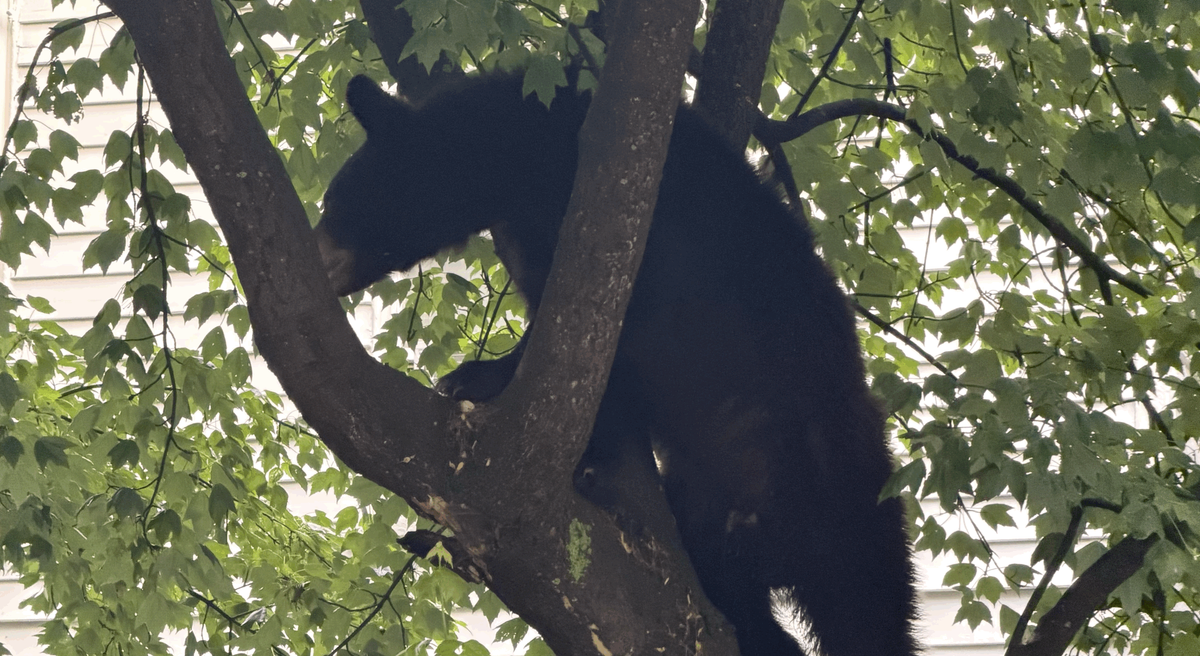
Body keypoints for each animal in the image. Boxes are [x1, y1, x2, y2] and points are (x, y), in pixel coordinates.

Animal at [314, 72, 920, 656]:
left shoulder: (640, 234)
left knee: (867, 614)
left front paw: (473, 376)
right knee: (732, 584)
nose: (320, 260)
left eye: (331, 200)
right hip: (710, 498)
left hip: (839, 492)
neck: (523, 160)